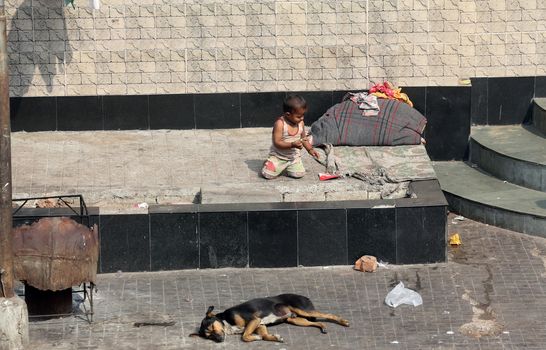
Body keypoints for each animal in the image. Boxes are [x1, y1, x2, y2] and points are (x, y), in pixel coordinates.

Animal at [189, 294, 346, 344]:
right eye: (208, 336)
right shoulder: (260, 324)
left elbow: (244, 336)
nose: (218, 340)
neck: (227, 321)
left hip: (303, 310)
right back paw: (323, 327)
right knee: (316, 322)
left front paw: (255, 337)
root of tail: (304, 297)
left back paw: (343, 321)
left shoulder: (254, 320)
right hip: (296, 320)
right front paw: (274, 338)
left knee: (328, 315)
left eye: (211, 327)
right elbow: (264, 335)